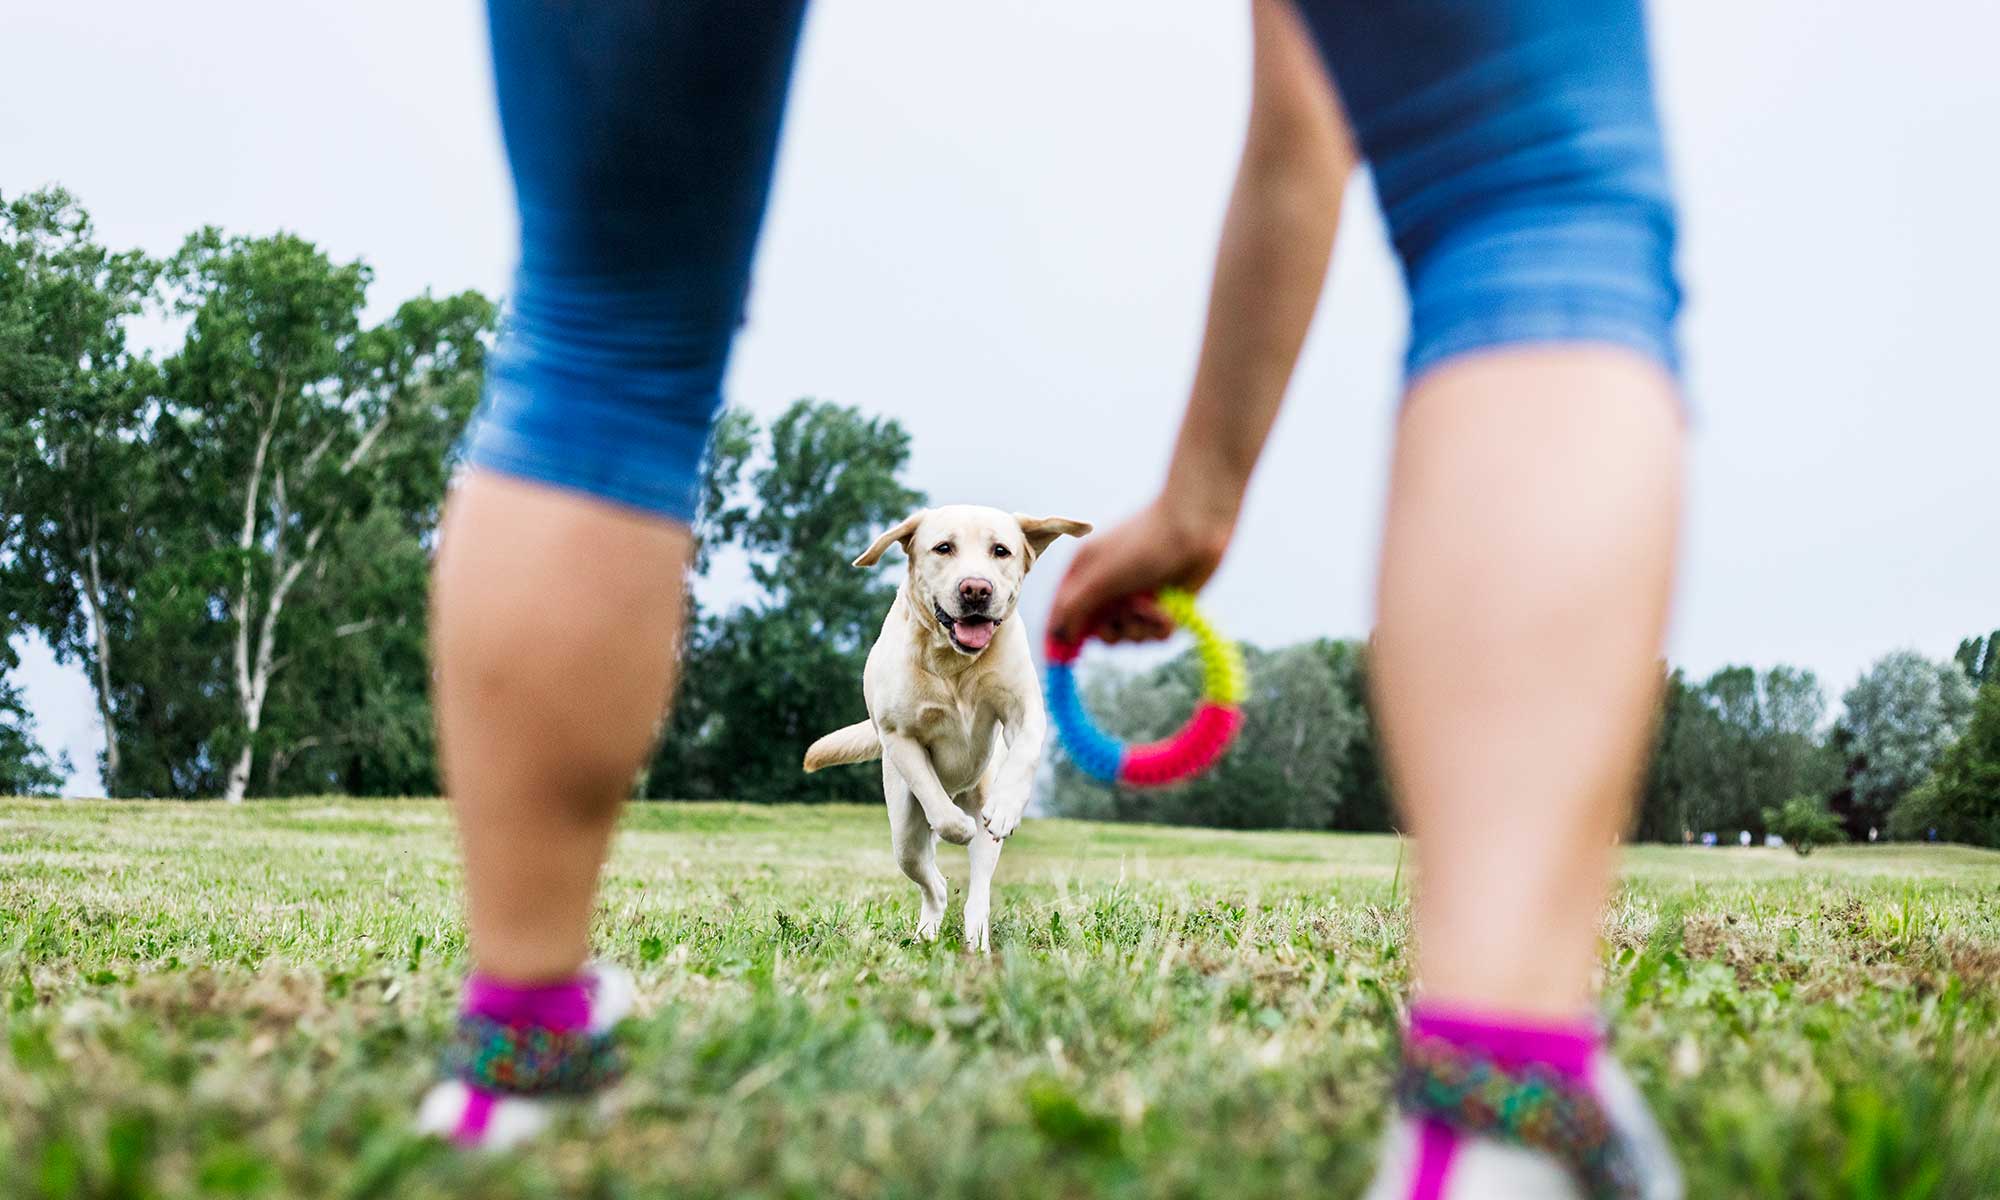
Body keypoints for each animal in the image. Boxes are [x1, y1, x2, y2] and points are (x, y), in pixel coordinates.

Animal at [804, 504, 1096, 948]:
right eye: (943, 548)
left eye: (1001, 550)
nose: (976, 589)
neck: (954, 661)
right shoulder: (899, 736)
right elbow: (932, 795)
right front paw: (956, 827)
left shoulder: (1025, 710)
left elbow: (1025, 753)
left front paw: (1008, 807)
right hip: (904, 834)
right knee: (933, 880)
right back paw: (928, 928)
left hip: (982, 815)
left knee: (979, 889)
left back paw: (977, 939)